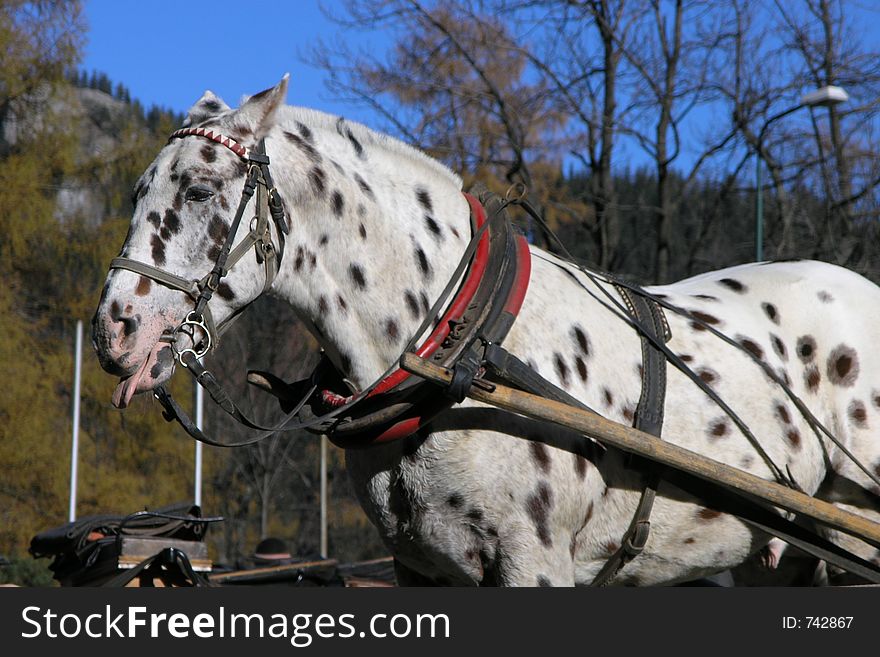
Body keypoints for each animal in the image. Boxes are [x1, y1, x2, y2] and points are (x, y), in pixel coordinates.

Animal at [91, 75, 880, 584]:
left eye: (199, 190)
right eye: (135, 192)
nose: (112, 330)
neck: (459, 350)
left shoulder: (534, 564)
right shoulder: (418, 570)